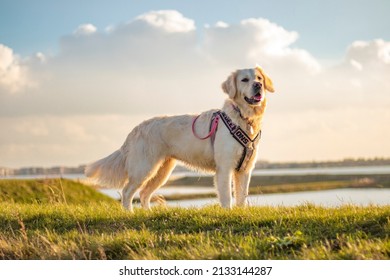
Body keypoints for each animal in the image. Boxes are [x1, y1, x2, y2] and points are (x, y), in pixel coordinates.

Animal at [85, 65, 274, 210]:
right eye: (244, 80)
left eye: (259, 78)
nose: (258, 85)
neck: (244, 119)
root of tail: (135, 129)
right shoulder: (225, 167)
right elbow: (227, 196)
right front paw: (228, 213)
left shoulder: (245, 169)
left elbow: (242, 196)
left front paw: (240, 212)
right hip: (143, 168)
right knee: (127, 192)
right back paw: (130, 214)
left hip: (162, 170)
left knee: (144, 193)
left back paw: (148, 213)